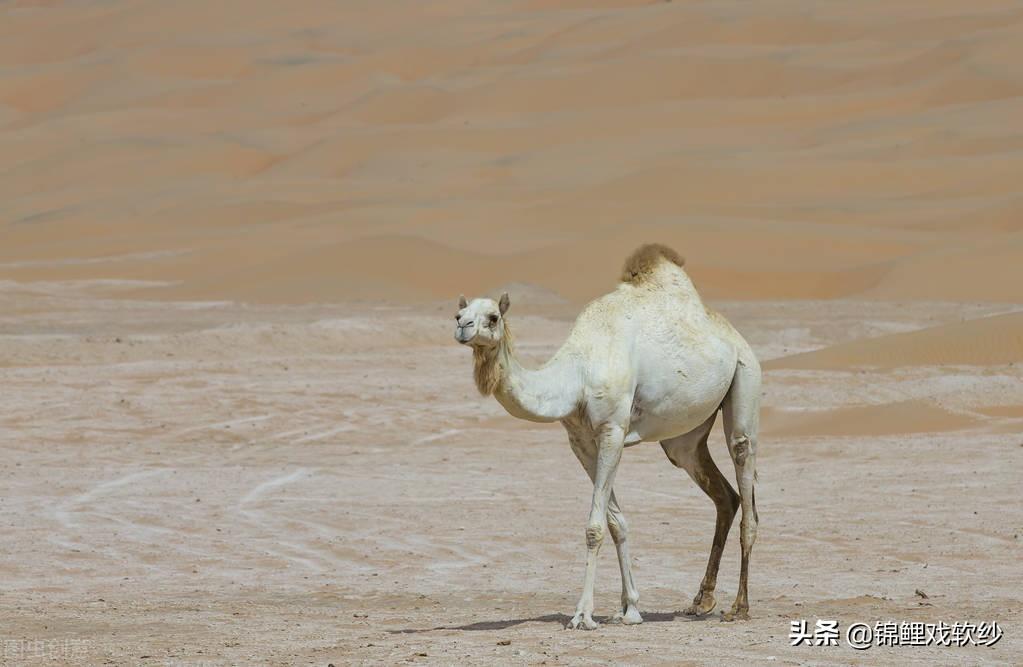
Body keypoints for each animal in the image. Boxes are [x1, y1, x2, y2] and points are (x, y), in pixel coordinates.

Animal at [456, 242, 761, 626]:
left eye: (493, 316)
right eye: (459, 313)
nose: (463, 327)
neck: (577, 373)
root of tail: (735, 337)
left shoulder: (613, 430)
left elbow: (595, 527)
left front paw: (583, 615)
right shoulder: (581, 441)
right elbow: (616, 523)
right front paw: (629, 608)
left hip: (746, 376)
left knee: (744, 468)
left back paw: (739, 606)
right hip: (684, 440)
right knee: (723, 494)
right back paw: (701, 600)